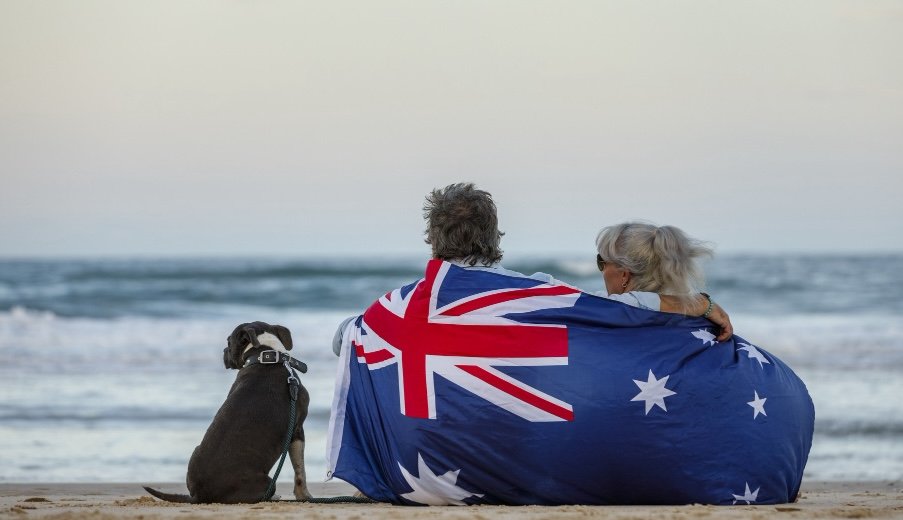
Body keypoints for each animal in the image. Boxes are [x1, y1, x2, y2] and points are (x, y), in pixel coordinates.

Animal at [143, 320, 308, 504]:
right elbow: (300, 471)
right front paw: (305, 496)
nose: (223, 351)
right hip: (267, 482)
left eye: (228, 341)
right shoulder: (297, 430)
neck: (265, 356)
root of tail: (199, 494)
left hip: (195, 452)